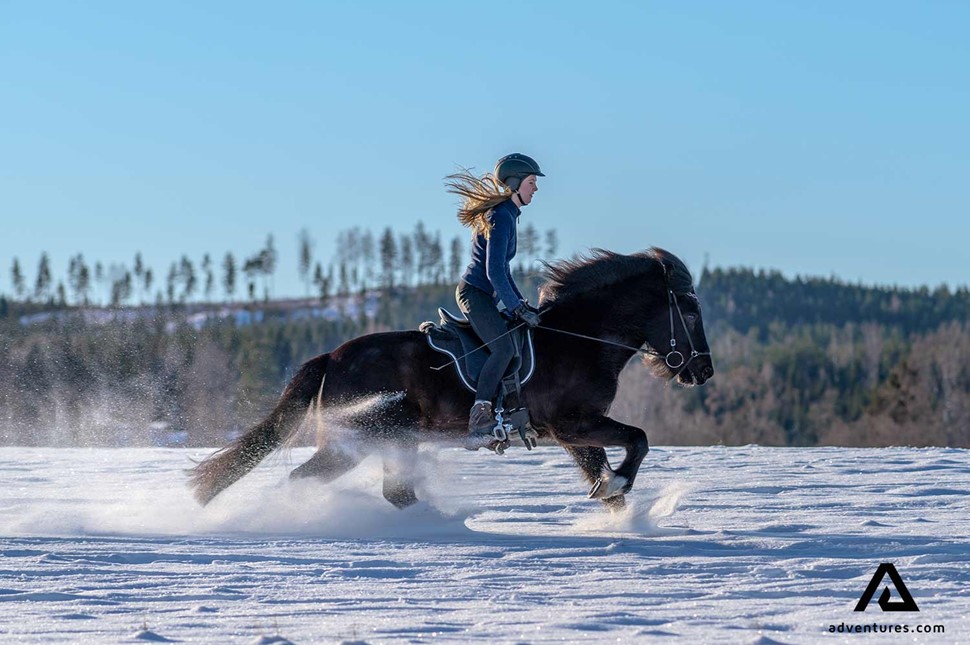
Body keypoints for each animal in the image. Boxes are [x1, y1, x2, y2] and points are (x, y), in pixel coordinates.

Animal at [189, 249, 716, 510]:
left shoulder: (570, 434)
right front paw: (619, 486)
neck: (579, 338)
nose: (703, 370)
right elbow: (639, 440)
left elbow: (606, 475)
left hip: (391, 439)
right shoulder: (575, 423)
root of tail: (332, 358)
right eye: (690, 311)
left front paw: (618, 514)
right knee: (310, 480)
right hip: (361, 439)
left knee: (393, 493)